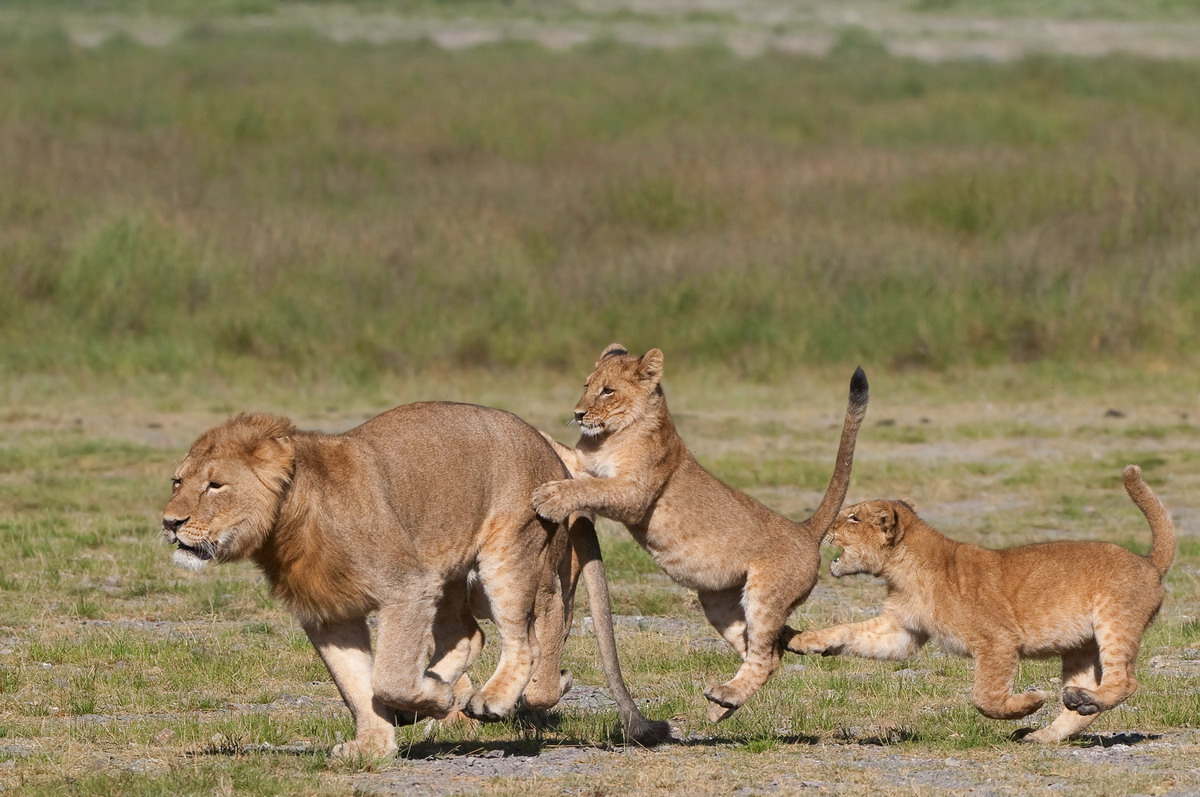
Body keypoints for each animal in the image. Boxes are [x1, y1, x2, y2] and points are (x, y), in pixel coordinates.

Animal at [162, 403, 670, 758]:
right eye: (177, 481)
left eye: (215, 485)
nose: (169, 523)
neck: (287, 528)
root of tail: (553, 454)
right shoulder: (330, 615)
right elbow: (356, 683)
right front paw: (373, 746)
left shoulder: (406, 587)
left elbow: (386, 676)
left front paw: (435, 700)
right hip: (450, 575)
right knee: (471, 634)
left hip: (508, 557)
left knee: (530, 633)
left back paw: (489, 699)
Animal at [534, 344, 868, 721]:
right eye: (587, 385)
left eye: (607, 391)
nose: (578, 413)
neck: (607, 437)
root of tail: (805, 530)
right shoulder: (583, 463)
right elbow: (566, 456)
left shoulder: (633, 494)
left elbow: (589, 488)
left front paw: (550, 498)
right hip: (720, 604)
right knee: (770, 651)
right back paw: (722, 707)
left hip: (765, 597)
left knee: (766, 657)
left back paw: (724, 697)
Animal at [790, 465, 1175, 743]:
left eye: (853, 518)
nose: (827, 525)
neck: (902, 571)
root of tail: (1148, 561)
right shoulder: (902, 630)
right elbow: (849, 632)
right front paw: (802, 640)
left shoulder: (998, 641)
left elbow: (985, 697)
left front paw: (1029, 702)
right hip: (1080, 646)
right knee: (1089, 694)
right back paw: (1050, 729)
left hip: (1113, 623)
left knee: (1126, 681)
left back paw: (1076, 704)